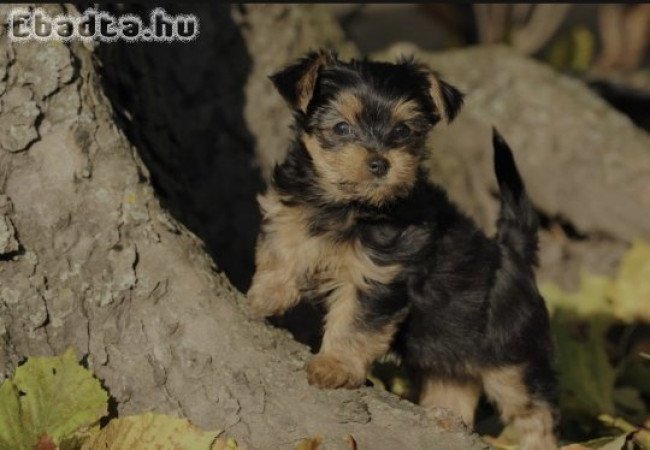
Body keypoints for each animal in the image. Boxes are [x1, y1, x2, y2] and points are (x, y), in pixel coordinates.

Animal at [248, 50, 556, 450]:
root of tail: (513, 254)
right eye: (342, 128)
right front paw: (266, 295)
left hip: (511, 354)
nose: (380, 163)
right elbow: (282, 242)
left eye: (402, 131)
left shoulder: (377, 276)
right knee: (453, 390)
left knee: (534, 410)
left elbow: (355, 323)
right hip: (448, 352)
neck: (347, 205)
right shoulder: (292, 208)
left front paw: (335, 365)